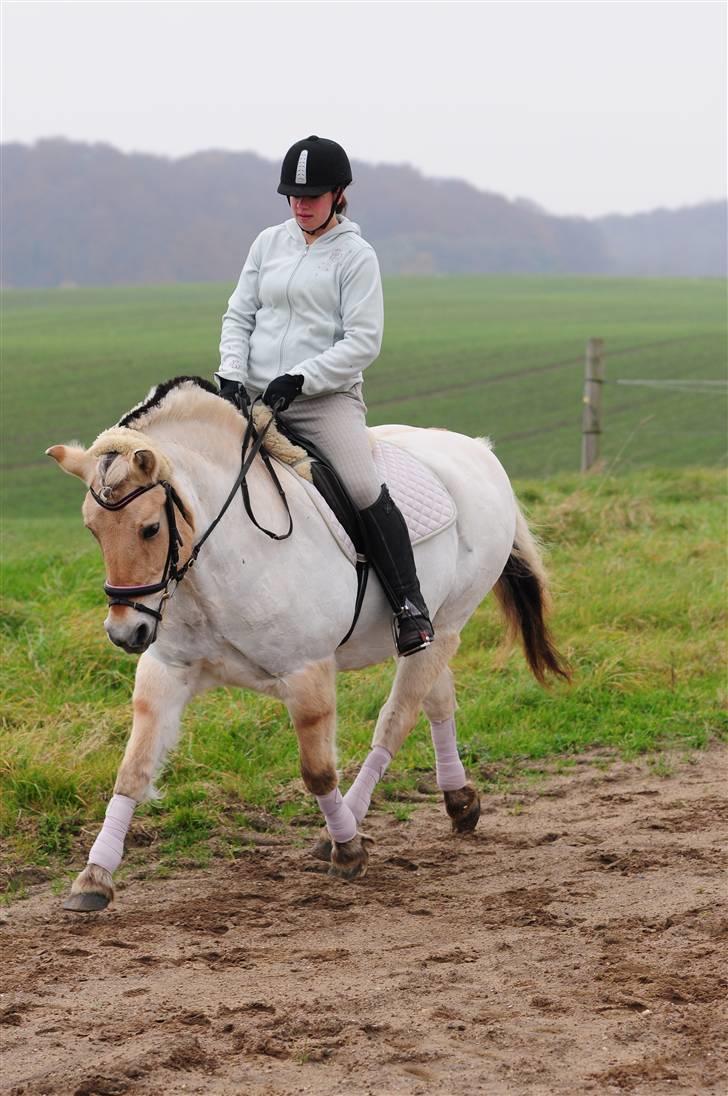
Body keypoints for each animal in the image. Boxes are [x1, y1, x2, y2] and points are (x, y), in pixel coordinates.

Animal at [45, 377, 570, 907]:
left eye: (150, 528)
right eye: (92, 530)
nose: (124, 633)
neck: (219, 561)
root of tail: (476, 450)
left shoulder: (307, 674)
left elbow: (317, 770)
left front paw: (348, 851)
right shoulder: (166, 672)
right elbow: (133, 768)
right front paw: (93, 878)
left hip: (447, 624)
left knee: (396, 720)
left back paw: (349, 825)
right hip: (432, 632)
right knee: (437, 702)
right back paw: (459, 800)